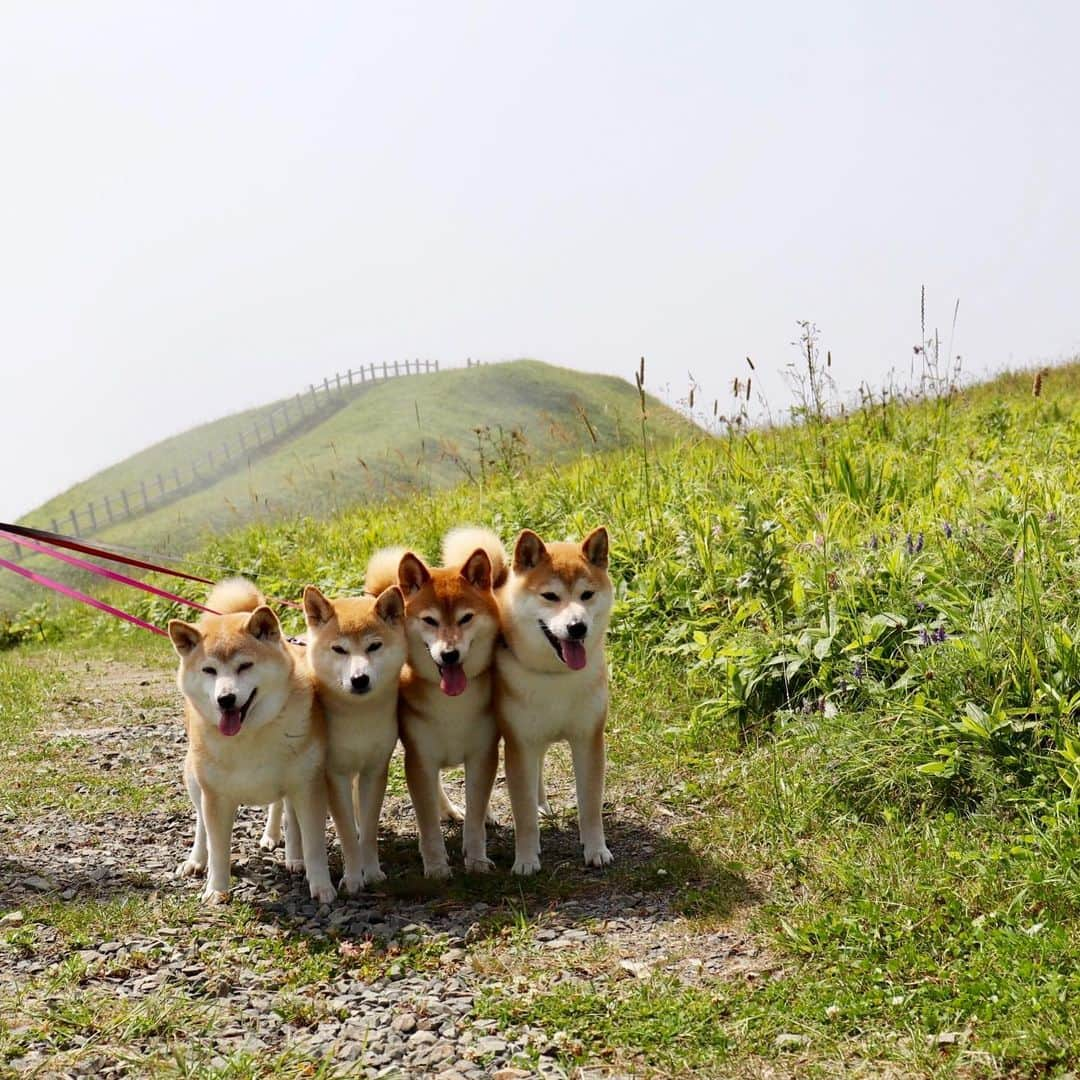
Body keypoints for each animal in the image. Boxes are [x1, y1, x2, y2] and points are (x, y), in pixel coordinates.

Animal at [167, 583, 332, 902]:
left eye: (244, 666)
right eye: (209, 670)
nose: (225, 698)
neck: (251, 733)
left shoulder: (307, 786)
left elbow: (313, 844)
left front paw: (321, 886)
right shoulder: (215, 797)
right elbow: (218, 848)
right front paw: (216, 890)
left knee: (286, 814)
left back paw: (291, 855)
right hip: (194, 780)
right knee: (201, 825)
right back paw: (196, 860)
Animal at [367, 540, 501, 876]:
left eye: (465, 618)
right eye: (430, 620)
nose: (449, 654)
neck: (451, 705)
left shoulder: (482, 754)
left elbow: (475, 815)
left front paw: (476, 860)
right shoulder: (419, 757)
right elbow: (427, 822)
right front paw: (437, 865)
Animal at [464, 527, 617, 872]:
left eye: (587, 595)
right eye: (550, 596)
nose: (577, 627)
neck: (555, 676)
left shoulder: (588, 739)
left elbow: (590, 805)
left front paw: (596, 849)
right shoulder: (519, 743)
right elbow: (522, 816)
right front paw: (525, 859)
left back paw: (542, 803)